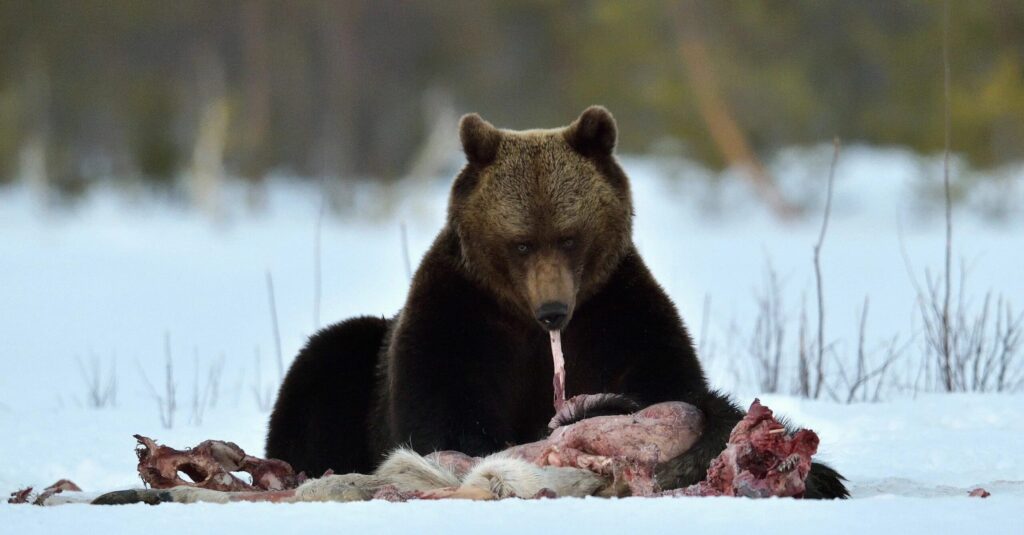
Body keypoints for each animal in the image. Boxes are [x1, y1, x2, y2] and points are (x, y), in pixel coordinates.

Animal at [265, 106, 849, 499]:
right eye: (521, 242)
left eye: (569, 237)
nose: (553, 310)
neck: (527, 325)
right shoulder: (458, 315)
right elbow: (440, 407)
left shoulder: (616, 312)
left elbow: (671, 381)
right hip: (349, 373)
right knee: (327, 360)